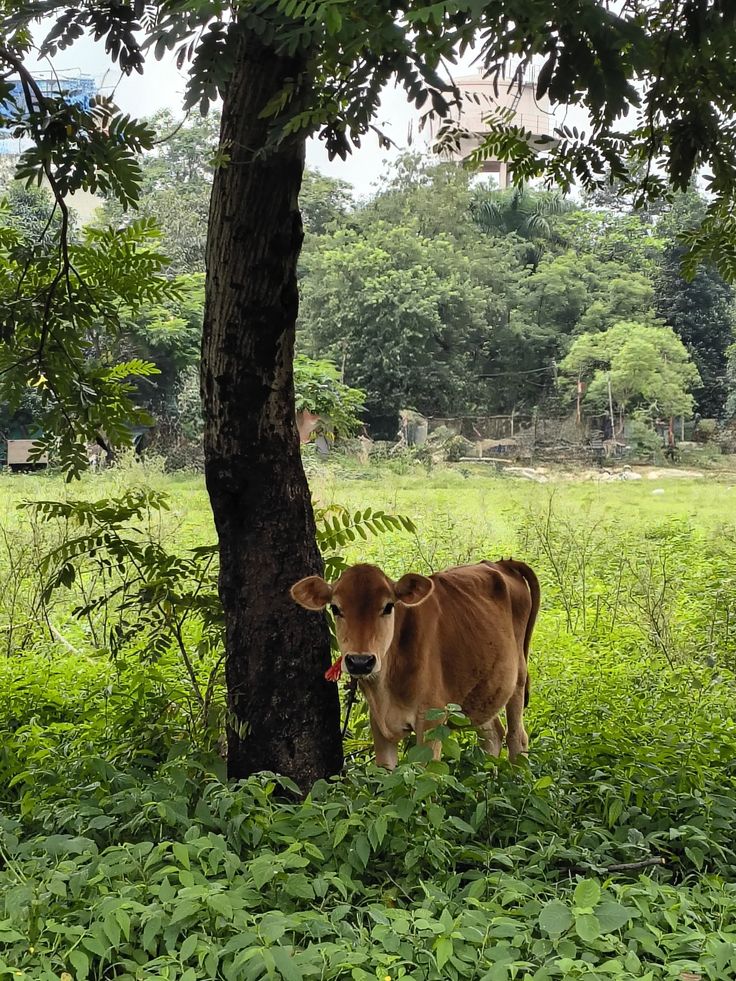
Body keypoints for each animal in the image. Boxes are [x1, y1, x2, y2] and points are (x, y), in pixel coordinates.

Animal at [290, 559, 540, 769]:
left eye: (388, 606)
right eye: (335, 608)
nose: (360, 662)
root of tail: (502, 564)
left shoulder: (431, 719)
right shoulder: (378, 725)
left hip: (518, 678)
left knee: (517, 737)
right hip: (481, 690)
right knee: (492, 736)